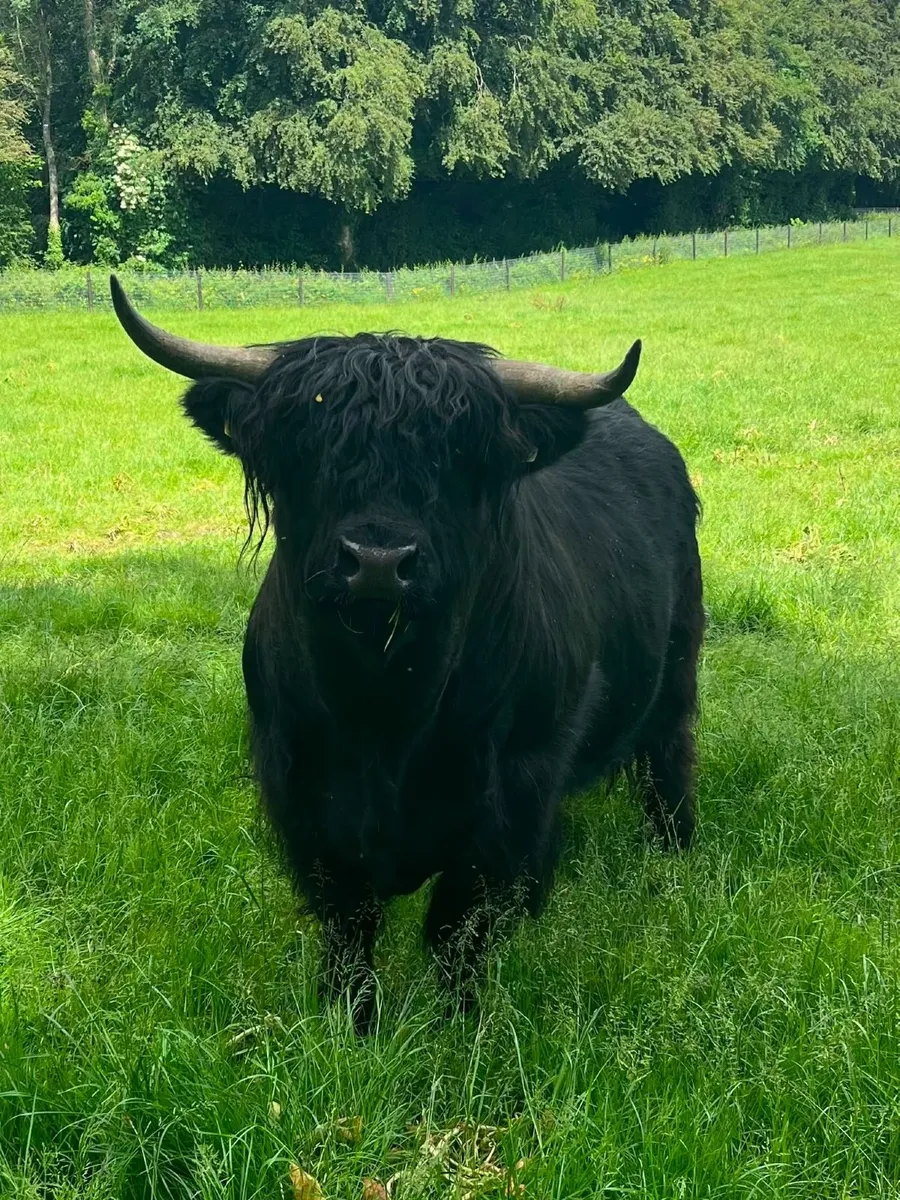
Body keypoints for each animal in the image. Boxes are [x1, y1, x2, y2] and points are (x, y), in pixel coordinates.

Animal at [110, 275, 703, 1030]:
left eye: (455, 461)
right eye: (311, 450)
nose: (377, 562)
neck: (383, 710)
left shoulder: (513, 789)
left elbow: (459, 927)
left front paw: (459, 1026)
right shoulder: (300, 790)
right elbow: (348, 924)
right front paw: (349, 1024)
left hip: (677, 668)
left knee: (668, 760)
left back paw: (673, 861)